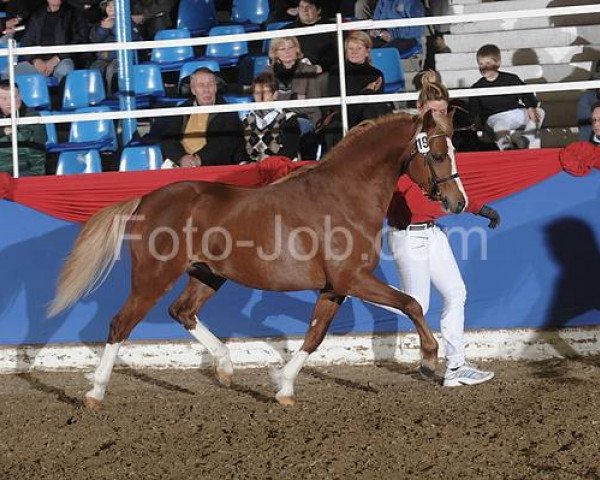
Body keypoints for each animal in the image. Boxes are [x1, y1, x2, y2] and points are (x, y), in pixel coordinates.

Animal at [49, 110, 466, 410]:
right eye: (439, 154)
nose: (458, 202)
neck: (345, 195)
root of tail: (145, 201)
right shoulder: (354, 279)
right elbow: (411, 303)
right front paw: (429, 359)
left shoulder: (334, 288)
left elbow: (315, 335)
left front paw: (283, 386)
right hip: (153, 277)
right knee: (120, 325)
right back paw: (96, 393)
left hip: (208, 275)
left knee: (182, 312)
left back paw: (225, 367)